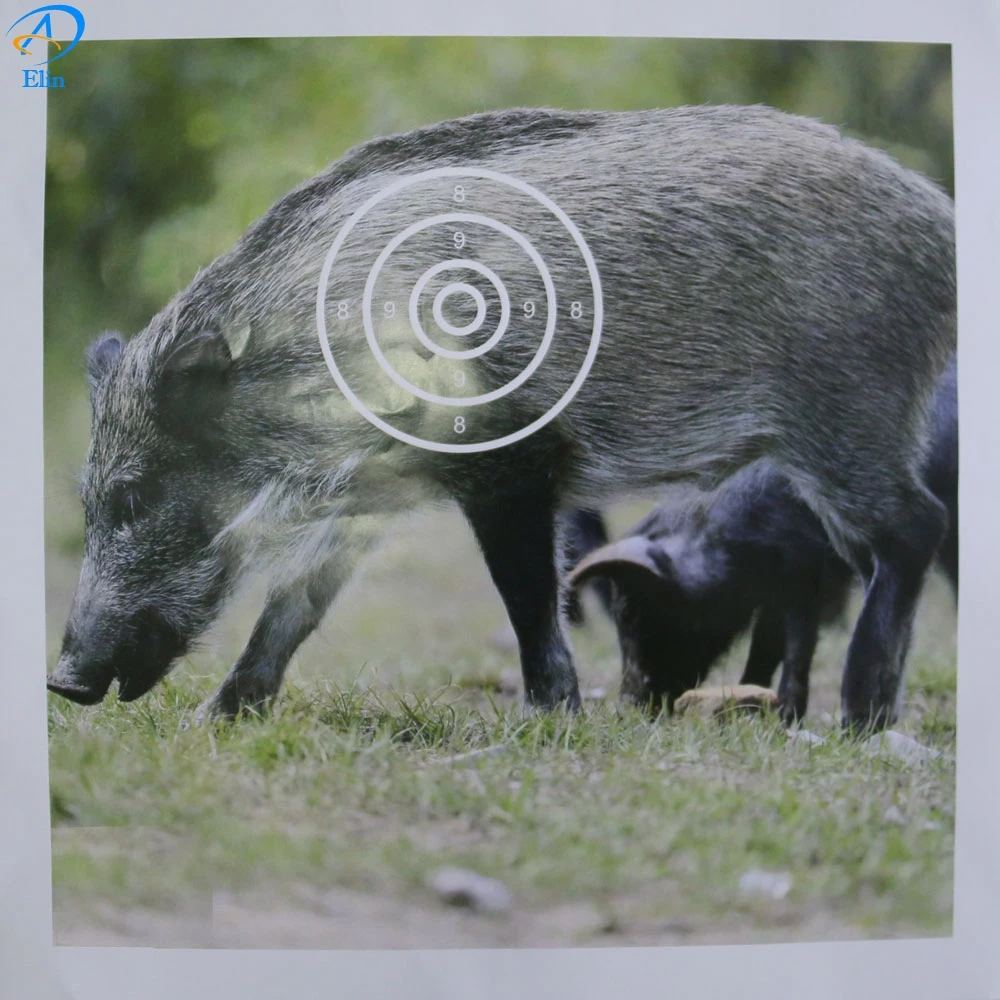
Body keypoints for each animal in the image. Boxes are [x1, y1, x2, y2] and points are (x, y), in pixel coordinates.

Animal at [567, 356, 957, 722]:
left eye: (631, 612)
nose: (628, 707)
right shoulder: (776, 587)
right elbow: (767, 643)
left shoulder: (807, 573)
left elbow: (797, 643)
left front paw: (786, 715)